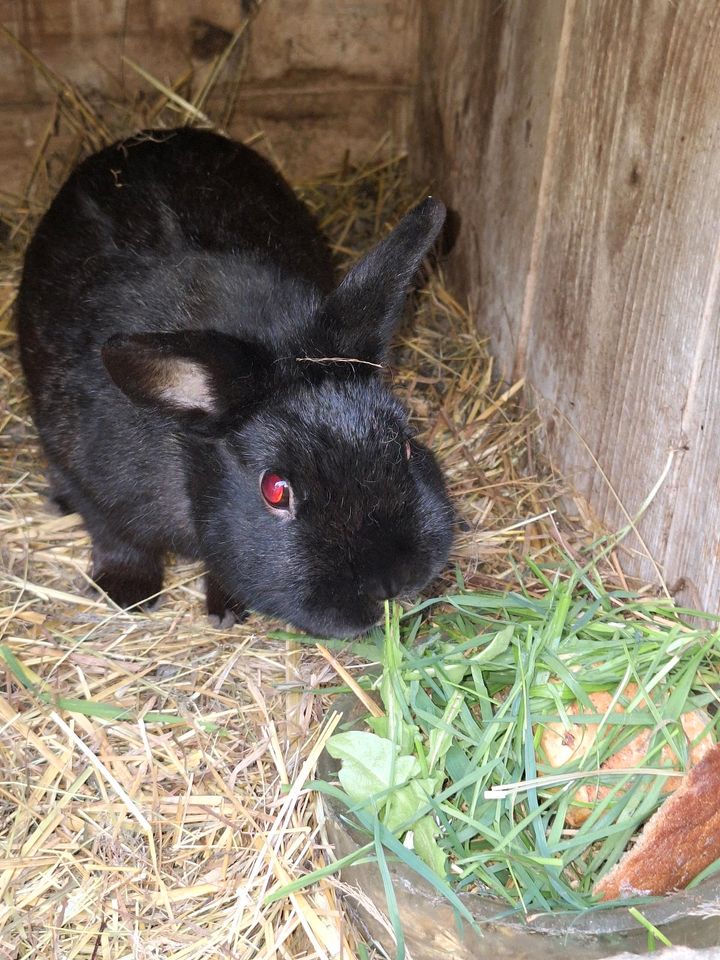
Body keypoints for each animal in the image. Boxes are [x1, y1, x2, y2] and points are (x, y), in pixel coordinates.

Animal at [16, 127, 452, 636]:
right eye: (275, 490)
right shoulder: (94, 483)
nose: (389, 583)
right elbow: (118, 539)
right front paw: (127, 595)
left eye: (405, 446)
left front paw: (225, 610)